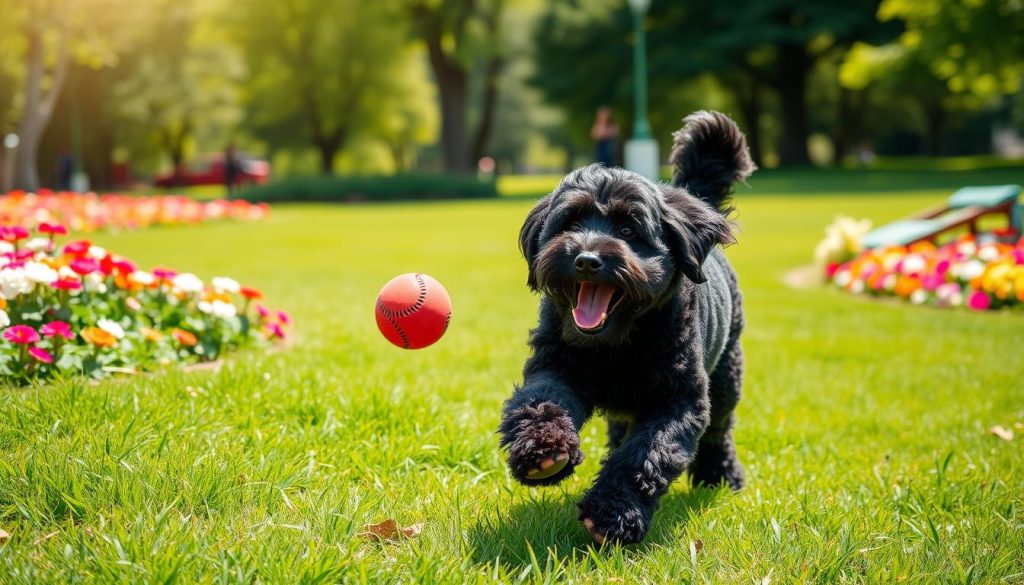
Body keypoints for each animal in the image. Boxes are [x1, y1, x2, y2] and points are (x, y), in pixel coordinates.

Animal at [499, 111, 757, 545]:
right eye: (570, 222)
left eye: (628, 231)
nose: (586, 260)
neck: (616, 345)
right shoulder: (557, 364)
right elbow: (541, 399)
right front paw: (544, 449)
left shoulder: (680, 400)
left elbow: (647, 453)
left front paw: (613, 512)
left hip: (726, 377)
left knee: (719, 431)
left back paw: (720, 476)